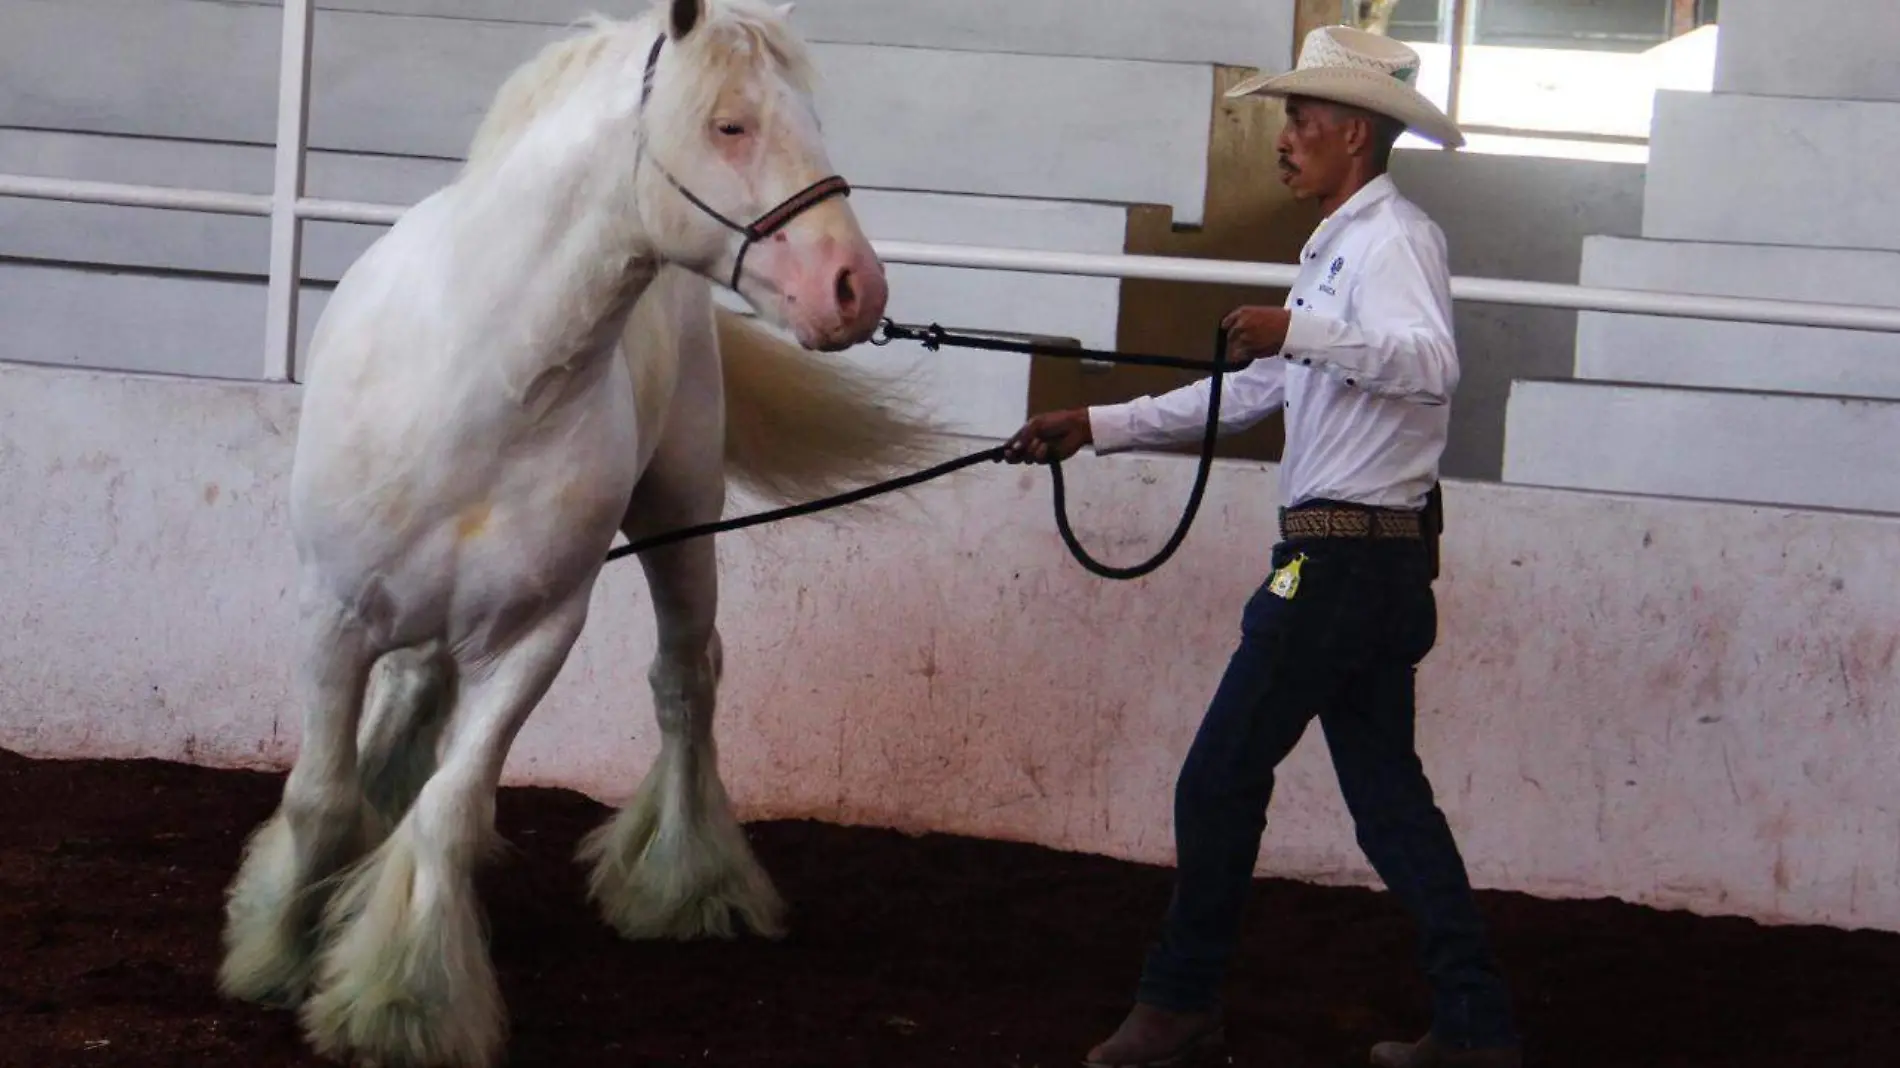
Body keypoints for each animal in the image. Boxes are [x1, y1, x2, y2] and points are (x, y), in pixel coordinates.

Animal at [215, 4, 942, 1056]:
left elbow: (449, 811)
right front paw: (276, 952)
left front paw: (401, 1002)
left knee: (684, 684)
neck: (477, 377)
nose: (856, 288)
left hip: (682, 522)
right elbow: (318, 795)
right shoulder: (332, 618)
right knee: (414, 693)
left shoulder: (534, 637)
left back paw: (688, 884)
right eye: (731, 124)